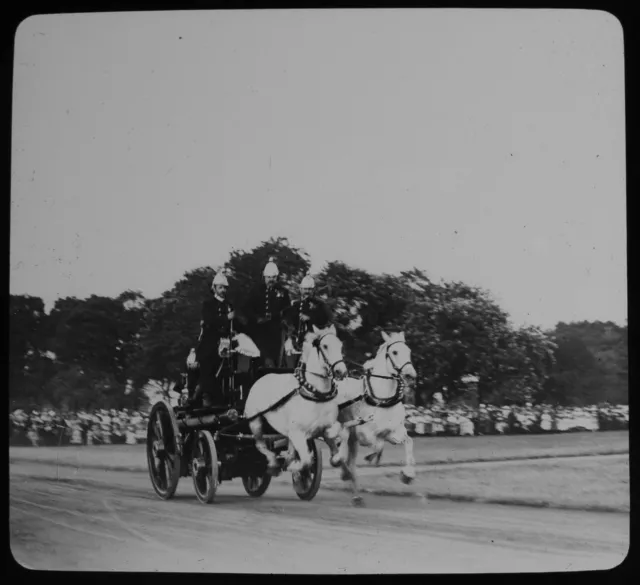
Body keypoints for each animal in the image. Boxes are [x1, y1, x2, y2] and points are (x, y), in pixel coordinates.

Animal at [242, 324, 348, 474]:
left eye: (340, 345)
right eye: (325, 346)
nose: (341, 371)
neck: (315, 394)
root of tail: (261, 378)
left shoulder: (325, 425)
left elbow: (339, 438)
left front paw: (336, 455)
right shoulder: (297, 433)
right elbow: (306, 461)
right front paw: (294, 467)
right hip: (255, 422)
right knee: (260, 445)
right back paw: (274, 463)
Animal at [336, 330, 420, 504]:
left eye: (409, 351)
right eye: (395, 352)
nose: (411, 375)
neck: (382, 399)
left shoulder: (393, 432)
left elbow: (408, 441)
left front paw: (407, 475)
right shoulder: (364, 434)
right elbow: (378, 444)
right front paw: (372, 457)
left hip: (352, 440)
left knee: (350, 460)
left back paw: (356, 494)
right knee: (338, 451)